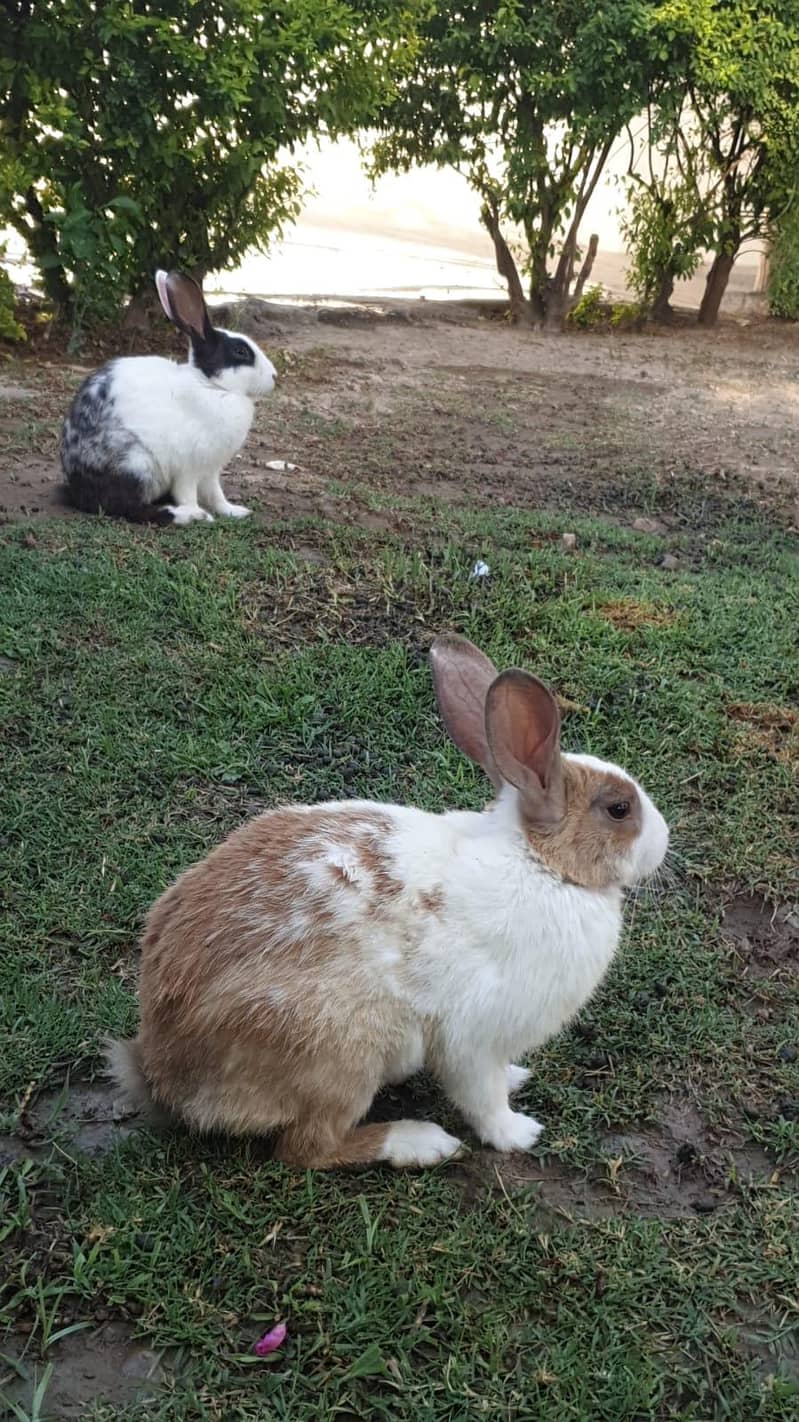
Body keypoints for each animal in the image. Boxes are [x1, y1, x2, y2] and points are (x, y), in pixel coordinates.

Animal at [60, 270, 276, 526]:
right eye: (241, 352)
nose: (274, 376)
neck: (211, 386)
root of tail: (76, 486)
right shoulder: (188, 469)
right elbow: (188, 494)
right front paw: (202, 514)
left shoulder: (211, 470)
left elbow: (216, 495)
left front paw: (236, 511)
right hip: (136, 465)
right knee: (131, 508)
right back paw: (188, 515)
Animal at [107, 634, 669, 1169]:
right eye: (620, 810)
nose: (663, 840)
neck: (543, 865)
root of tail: (164, 1073)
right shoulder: (470, 1039)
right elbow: (482, 1098)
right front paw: (518, 1134)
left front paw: (517, 1076)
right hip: (344, 1053)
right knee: (306, 1149)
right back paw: (420, 1143)